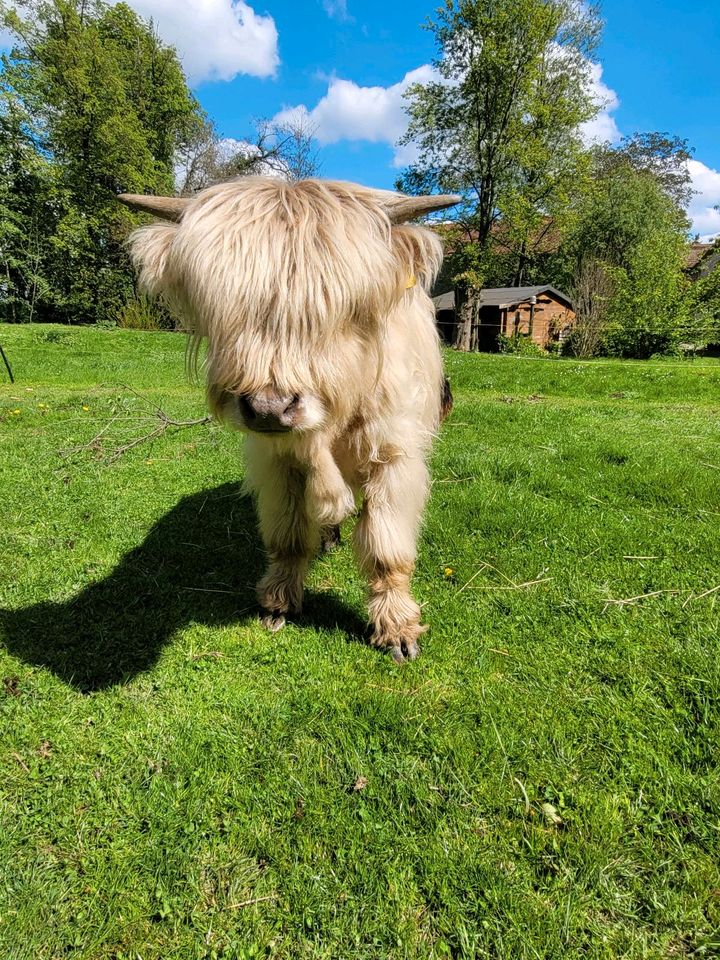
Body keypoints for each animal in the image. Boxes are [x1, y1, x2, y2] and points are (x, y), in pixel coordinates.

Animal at [120, 178, 458, 660]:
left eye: (338, 310)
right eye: (222, 310)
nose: (268, 408)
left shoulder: (394, 455)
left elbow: (386, 546)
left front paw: (396, 628)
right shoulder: (278, 460)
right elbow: (288, 534)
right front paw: (278, 601)